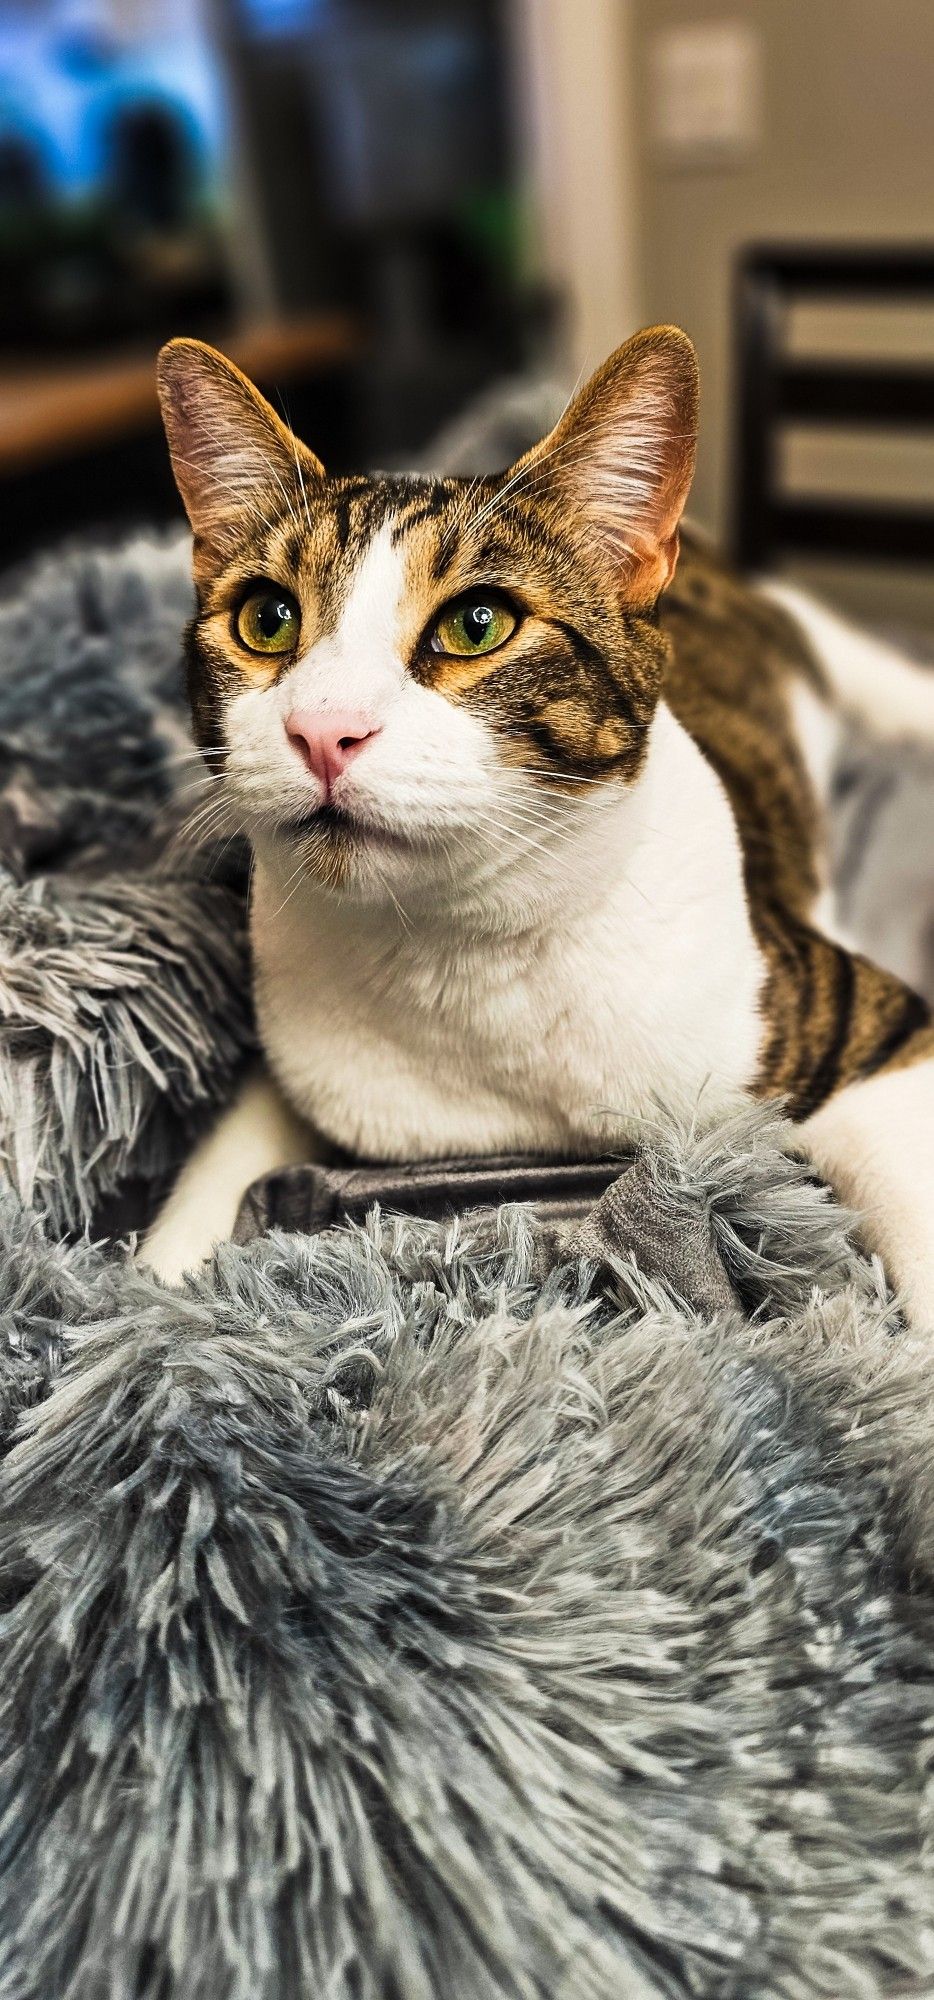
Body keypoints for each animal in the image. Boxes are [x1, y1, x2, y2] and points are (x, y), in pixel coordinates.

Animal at [143, 328, 934, 1328]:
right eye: (267, 618)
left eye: (478, 624)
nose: (323, 729)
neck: (464, 954)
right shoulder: (299, 1064)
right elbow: (218, 1168)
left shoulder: (862, 1025)